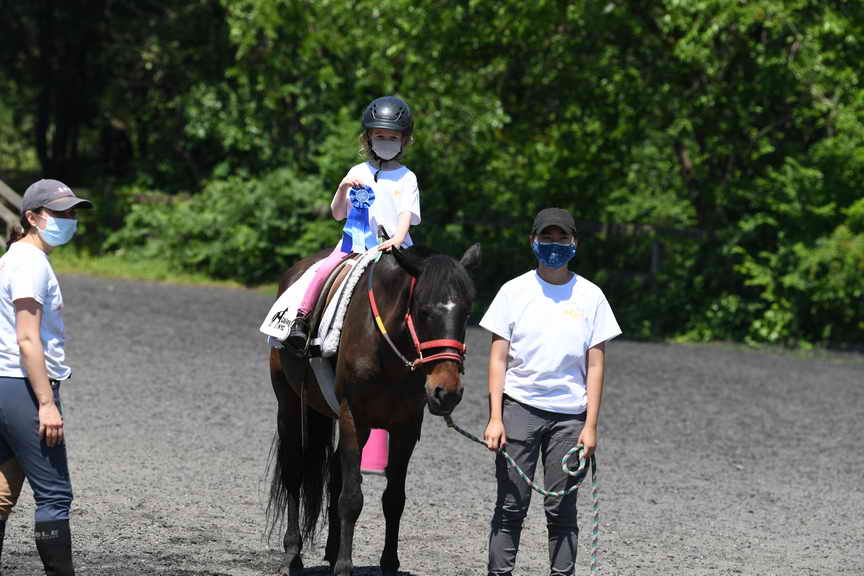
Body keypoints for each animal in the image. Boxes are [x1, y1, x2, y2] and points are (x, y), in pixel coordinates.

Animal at [268, 242, 481, 576]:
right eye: (424, 311)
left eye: (467, 312)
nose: (447, 392)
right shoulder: (353, 418)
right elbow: (352, 498)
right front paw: (345, 566)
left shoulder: (406, 427)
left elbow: (393, 498)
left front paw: (388, 563)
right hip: (289, 406)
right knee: (294, 472)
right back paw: (293, 554)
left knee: (335, 475)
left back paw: (331, 551)